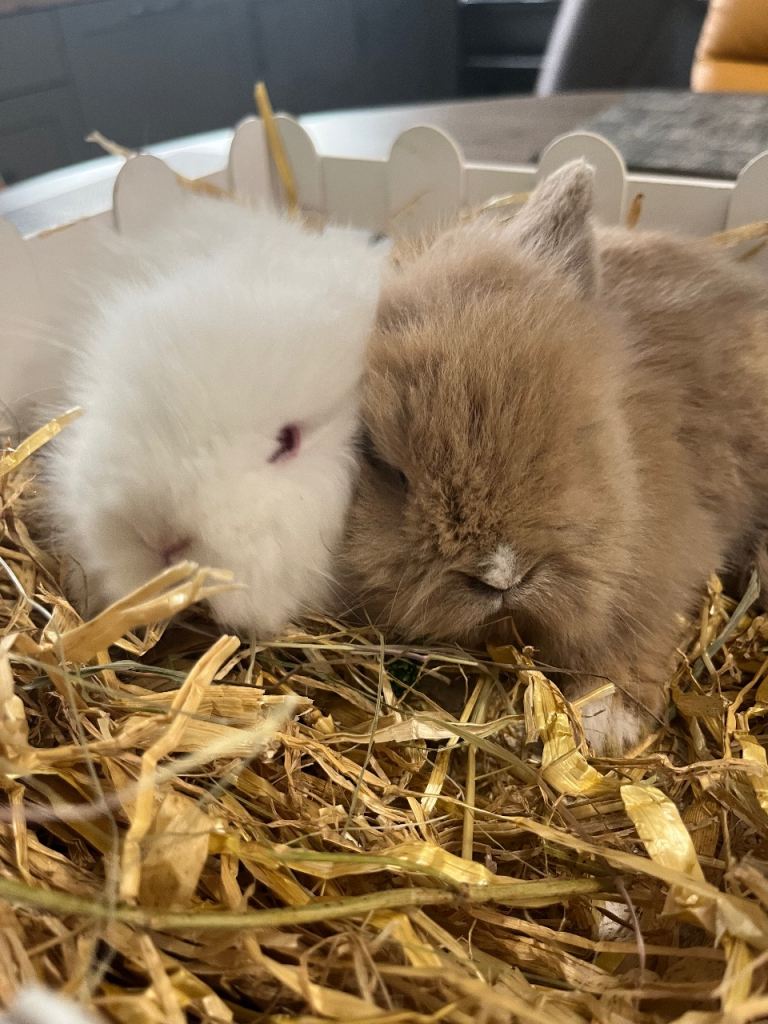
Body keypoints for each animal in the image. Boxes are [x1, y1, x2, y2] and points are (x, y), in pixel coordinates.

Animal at [340, 161, 768, 753]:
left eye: (579, 430)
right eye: (384, 463)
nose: (503, 575)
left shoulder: (661, 564)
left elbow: (634, 641)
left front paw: (603, 725)